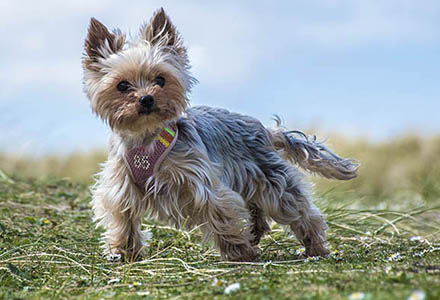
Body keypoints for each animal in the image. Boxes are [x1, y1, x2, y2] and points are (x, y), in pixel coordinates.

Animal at [81, 6, 358, 260]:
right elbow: (123, 218)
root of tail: (264, 129)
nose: (146, 99)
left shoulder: (201, 181)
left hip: (271, 178)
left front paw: (239, 252)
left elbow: (220, 213)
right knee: (259, 212)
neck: (147, 137)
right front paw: (124, 252)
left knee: (300, 210)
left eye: (160, 80)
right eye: (122, 85)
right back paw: (256, 234)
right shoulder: (121, 186)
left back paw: (316, 247)